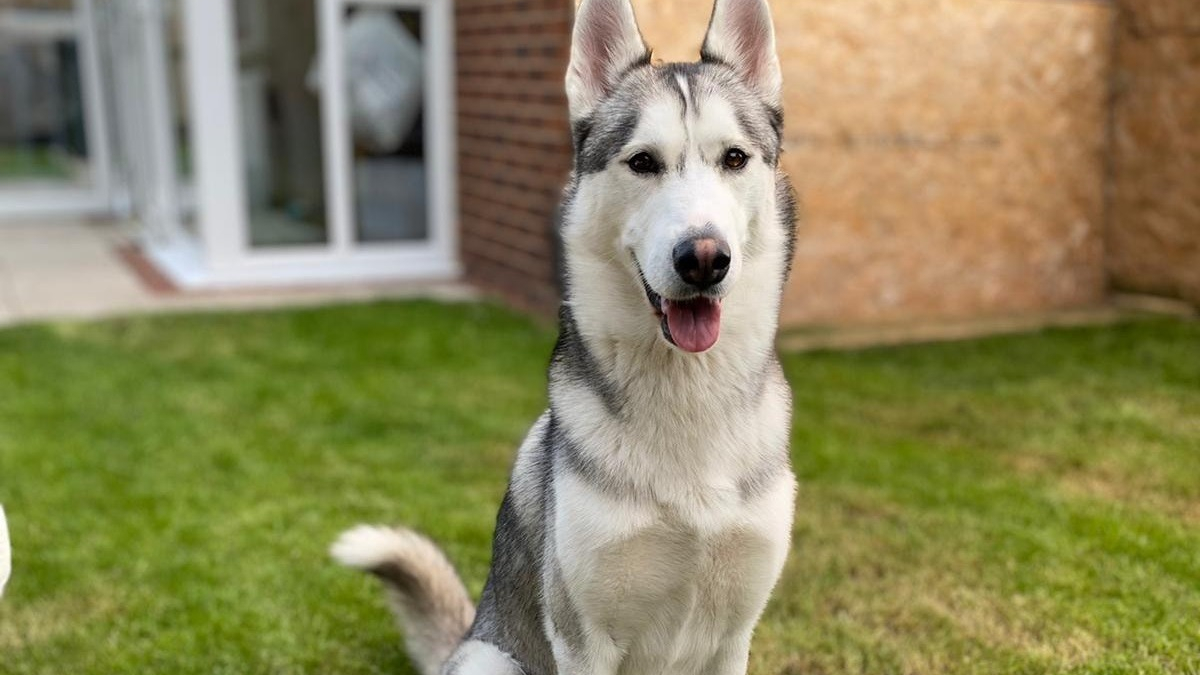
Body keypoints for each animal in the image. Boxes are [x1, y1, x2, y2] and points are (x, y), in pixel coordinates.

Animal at [331, 0, 796, 667]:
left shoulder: (735, 638)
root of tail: (465, 634)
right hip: (491, 658)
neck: (685, 398)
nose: (704, 258)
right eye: (643, 162)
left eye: (734, 158)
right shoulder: (584, 638)